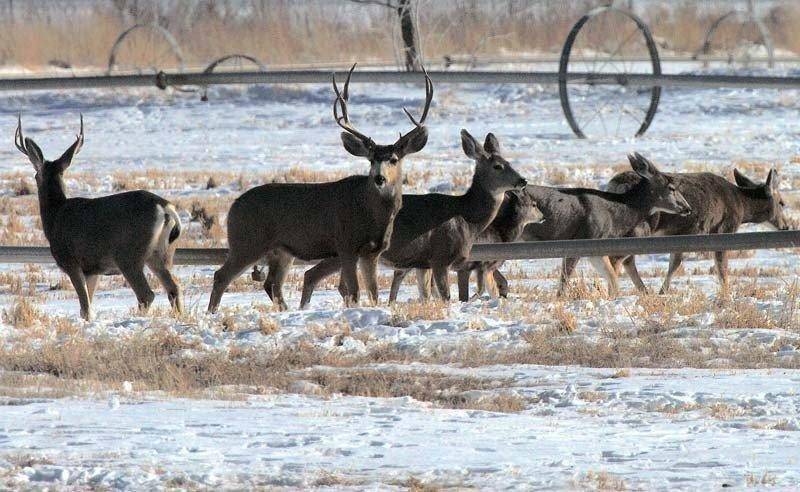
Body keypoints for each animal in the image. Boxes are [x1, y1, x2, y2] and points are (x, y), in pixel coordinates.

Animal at [15, 115, 183, 320]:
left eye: (35, 175)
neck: (55, 216)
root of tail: (165, 208)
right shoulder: (92, 269)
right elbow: (88, 304)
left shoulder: (71, 261)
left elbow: (85, 306)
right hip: (162, 254)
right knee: (174, 288)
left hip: (129, 255)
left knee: (146, 294)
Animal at [206, 64, 432, 312]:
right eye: (371, 159)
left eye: (393, 159)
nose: (379, 178)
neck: (371, 214)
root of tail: (232, 207)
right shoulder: (346, 244)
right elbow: (354, 291)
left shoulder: (372, 251)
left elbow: (373, 293)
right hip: (247, 241)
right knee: (222, 276)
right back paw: (212, 314)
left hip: (281, 251)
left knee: (272, 283)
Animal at [300, 131, 532, 308]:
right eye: (498, 166)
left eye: (509, 161)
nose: (523, 180)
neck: (465, 217)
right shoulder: (439, 257)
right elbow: (445, 296)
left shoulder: (422, 263)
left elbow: (426, 296)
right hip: (343, 247)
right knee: (314, 275)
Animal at [520, 153, 692, 296]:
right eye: (671, 188)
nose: (688, 208)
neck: (615, 213)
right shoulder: (583, 239)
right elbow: (567, 281)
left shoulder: (596, 247)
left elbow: (611, 277)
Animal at [608, 167, 788, 294]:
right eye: (782, 203)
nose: (786, 226)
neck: (741, 206)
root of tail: (616, 184)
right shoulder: (723, 230)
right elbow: (721, 268)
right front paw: (726, 295)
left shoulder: (681, 235)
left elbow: (675, 263)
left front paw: (661, 293)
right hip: (641, 226)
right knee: (617, 257)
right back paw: (614, 293)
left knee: (627, 259)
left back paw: (643, 291)